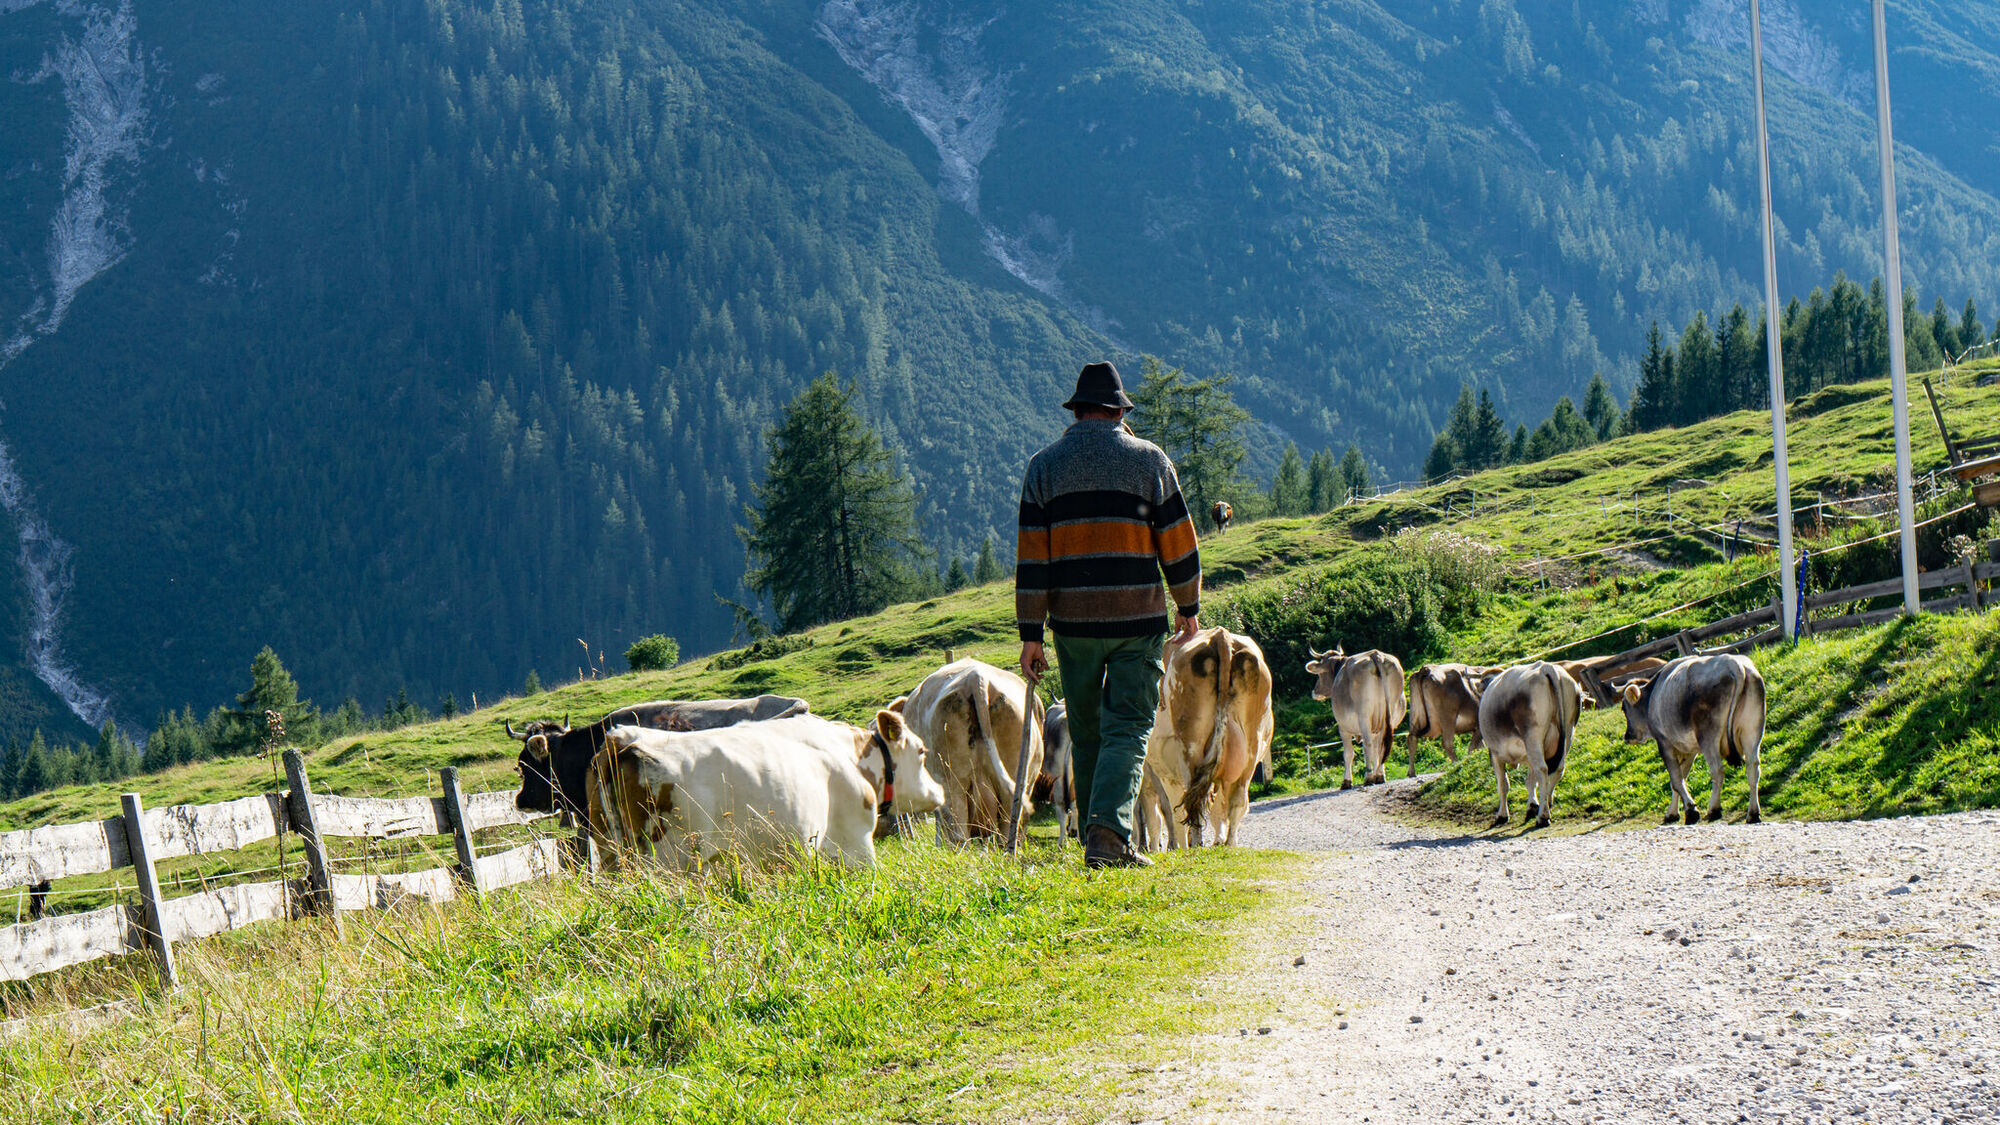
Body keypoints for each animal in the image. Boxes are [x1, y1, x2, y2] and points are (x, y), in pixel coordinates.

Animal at [587, 711, 946, 871]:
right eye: (922, 751)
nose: (940, 791)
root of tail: (621, 739)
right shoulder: (856, 843)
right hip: (667, 857)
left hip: (606, 848)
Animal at [1139, 628, 1274, 848]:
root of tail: (1220, 635)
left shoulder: (1165, 773)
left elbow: (1173, 814)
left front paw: (1182, 849)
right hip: (1251, 749)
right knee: (1236, 801)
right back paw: (1229, 844)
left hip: (1190, 749)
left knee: (1191, 804)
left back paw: (1195, 844)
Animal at [1305, 646, 1407, 788]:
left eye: (1319, 674)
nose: (1314, 691)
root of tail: (1375, 654)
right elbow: (1375, 750)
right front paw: (1377, 774)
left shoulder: (1343, 728)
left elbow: (1348, 754)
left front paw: (1346, 781)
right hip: (1388, 715)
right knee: (1381, 744)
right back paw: (1379, 776)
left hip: (1364, 716)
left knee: (1367, 745)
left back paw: (1368, 778)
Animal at [1477, 661, 1588, 829]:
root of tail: (1545, 667)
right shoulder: (1529, 755)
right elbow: (1530, 780)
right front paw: (1532, 806)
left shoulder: (1494, 753)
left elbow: (1503, 784)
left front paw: (1502, 815)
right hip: (1568, 732)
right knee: (1557, 769)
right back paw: (1547, 804)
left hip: (1532, 735)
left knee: (1542, 769)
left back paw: (1543, 816)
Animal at [1618, 655, 1766, 825]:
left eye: (1624, 708)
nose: (1627, 736)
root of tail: (1734, 663)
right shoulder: (1690, 750)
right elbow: (1680, 778)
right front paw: (1672, 813)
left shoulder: (1664, 744)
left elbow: (1676, 780)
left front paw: (1691, 811)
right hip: (1752, 729)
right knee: (1753, 767)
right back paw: (1753, 813)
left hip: (1708, 736)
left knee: (1717, 770)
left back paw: (1714, 809)